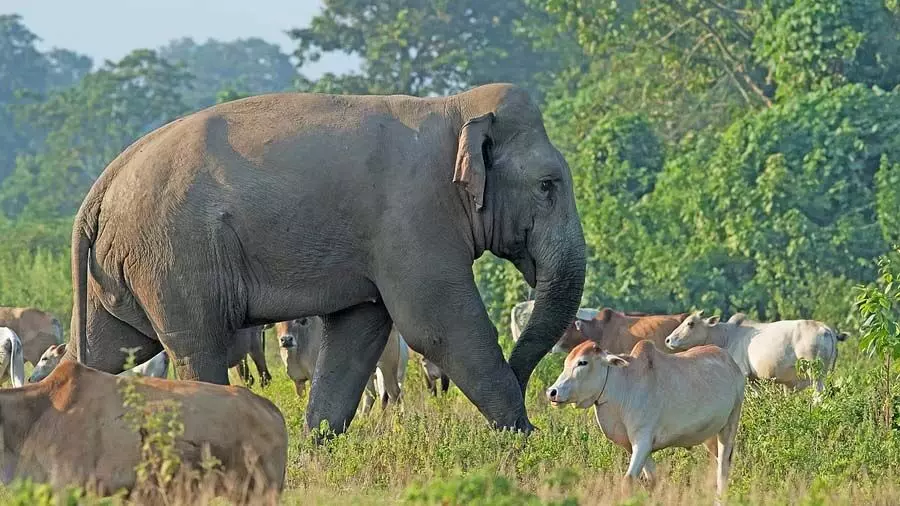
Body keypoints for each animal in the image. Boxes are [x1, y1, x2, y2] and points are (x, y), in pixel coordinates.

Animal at [67, 83, 588, 434]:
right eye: (548, 185)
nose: (541, 394)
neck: (452, 106)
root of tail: (103, 186)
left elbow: (359, 333)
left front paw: (318, 444)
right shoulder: (414, 219)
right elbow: (440, 328)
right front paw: (523, 441)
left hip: (124, 270)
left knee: (104, 348)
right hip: (172, 256)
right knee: (197, 348)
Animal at [548, 338, 744, 500]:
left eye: (583, 362)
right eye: (566, 362)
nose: (552, 392)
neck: (623, 385)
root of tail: (730, 361)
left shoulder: (642, 441)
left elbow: (628, 481)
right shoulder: (635, 447)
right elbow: (653, 481)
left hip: (730, 425)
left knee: (723, 467)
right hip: (710, 436)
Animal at [664, 310, 848, 402]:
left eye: (690, 323)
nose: (668, 340)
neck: (727, 335)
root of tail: (826, 328)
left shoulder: (743, 375)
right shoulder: (754, 380)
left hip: (815, 374)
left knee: (818, 396)